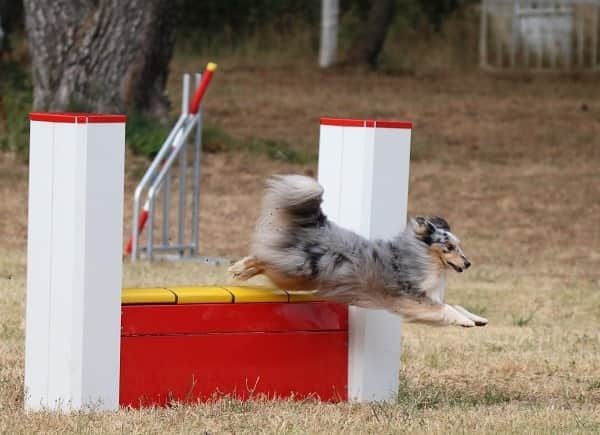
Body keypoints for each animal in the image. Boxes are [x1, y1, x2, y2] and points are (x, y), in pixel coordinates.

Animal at [229, 174, 488, 328]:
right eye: (449, 247)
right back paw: (239, 269)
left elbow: (454, 305)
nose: (468, 264)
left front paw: (478, 319)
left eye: (459, 246)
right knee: (263, 258)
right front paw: (465, 321)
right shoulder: (411, 298)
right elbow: (446, 307)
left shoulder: (420, 303)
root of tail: (317, 225)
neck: (422, 256)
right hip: (296, 274)